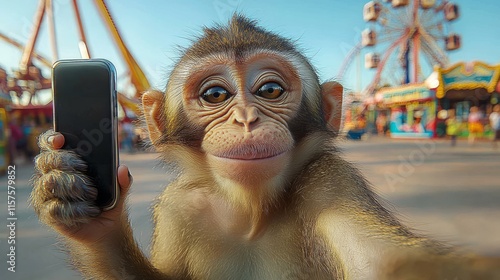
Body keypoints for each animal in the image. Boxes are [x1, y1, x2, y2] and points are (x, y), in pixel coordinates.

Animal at [30, 15, 500, 280]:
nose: (246, 119)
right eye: (215, 95)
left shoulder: (332, 182)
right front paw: (81, 209)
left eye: (270, 90)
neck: (251, 212)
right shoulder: (181, 206)